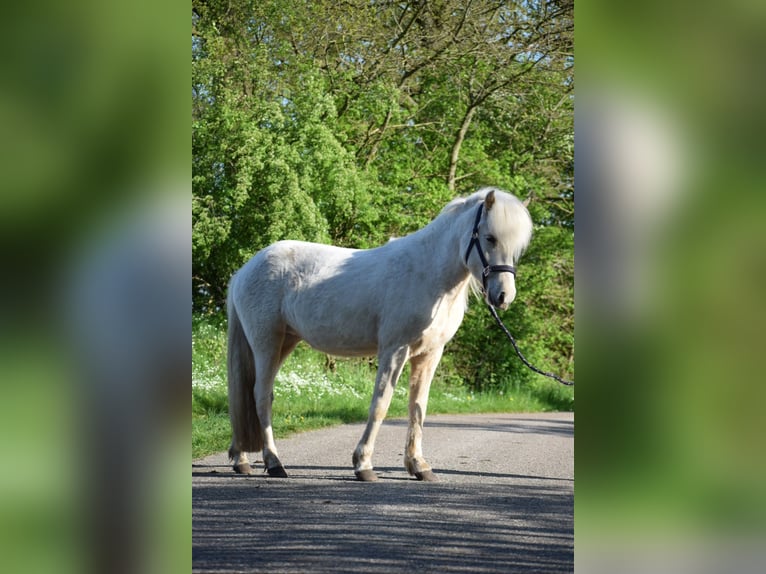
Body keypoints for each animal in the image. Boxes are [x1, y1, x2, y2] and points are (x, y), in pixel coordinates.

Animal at [225, 188, 532, 482]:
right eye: (490, 238)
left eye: (516, 248)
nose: (503, 296)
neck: (427, 274)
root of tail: (244, 270)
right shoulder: (395, 350)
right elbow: (381, 404)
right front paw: (363, 464)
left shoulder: (430, 354)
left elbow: (417, 408)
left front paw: (419, 465)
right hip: (266, 342)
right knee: (261, 396)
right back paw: (274, 462)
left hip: (286, 341)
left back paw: (242, 459)